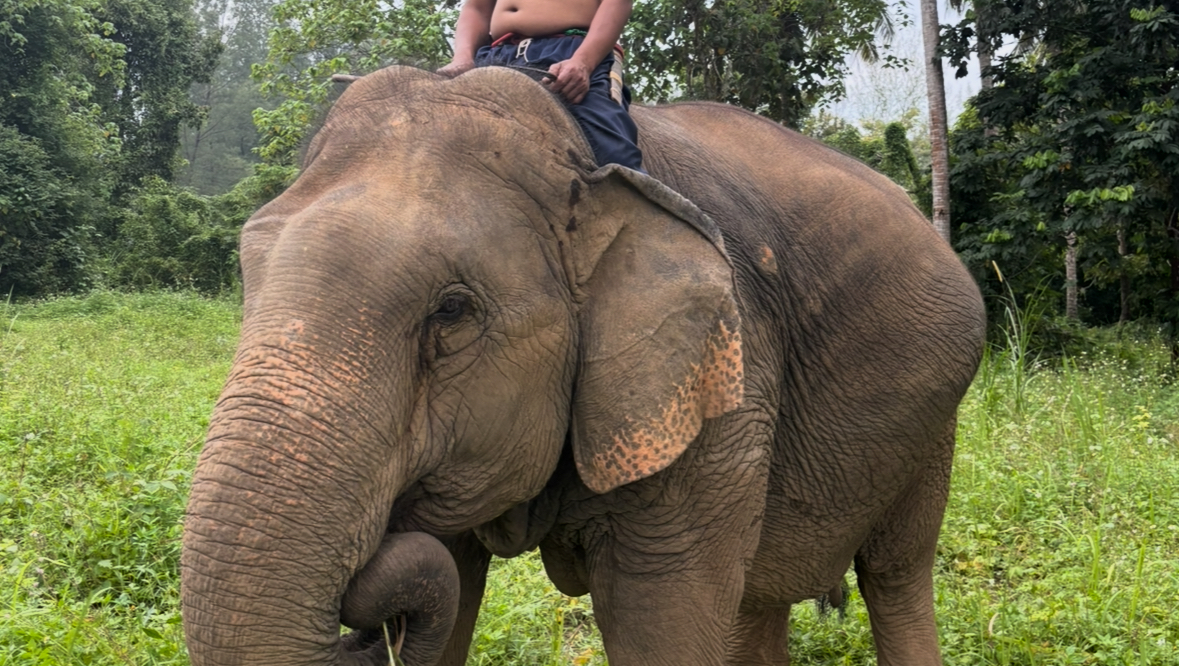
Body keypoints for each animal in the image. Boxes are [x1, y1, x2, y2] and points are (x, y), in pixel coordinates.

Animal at [180, 65, 985, 666]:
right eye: (247, 274)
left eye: (451, 311)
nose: (365, 605)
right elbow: (454, 582)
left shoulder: (723, 382)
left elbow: (658, 620)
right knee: (758, 599)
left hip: (934, 421)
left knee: (894, 573)